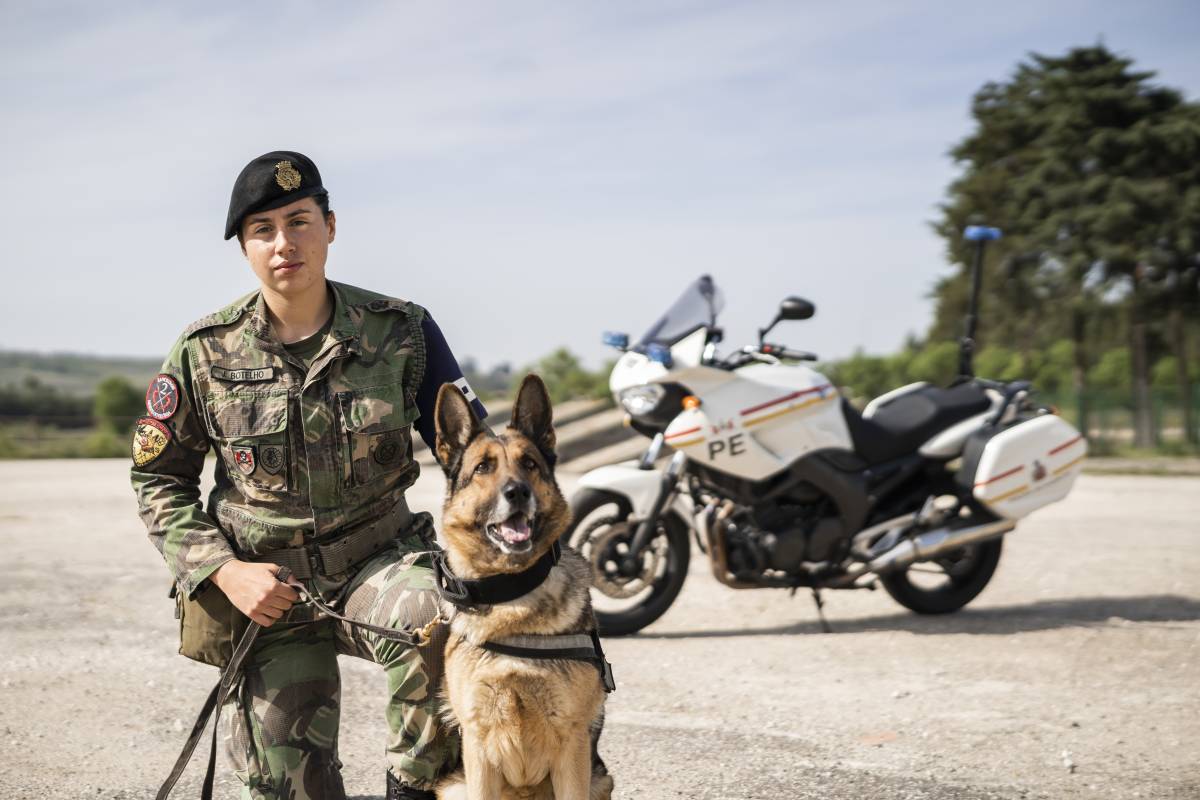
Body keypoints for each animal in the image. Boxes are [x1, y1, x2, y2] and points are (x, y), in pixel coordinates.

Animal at [432, 376, 614, 800]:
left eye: (529, 463)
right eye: (482, 468)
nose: (517, 492)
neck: (511, 595)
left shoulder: (572, 745)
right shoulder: (477, 745)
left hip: (600, 779)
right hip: (455, 787)